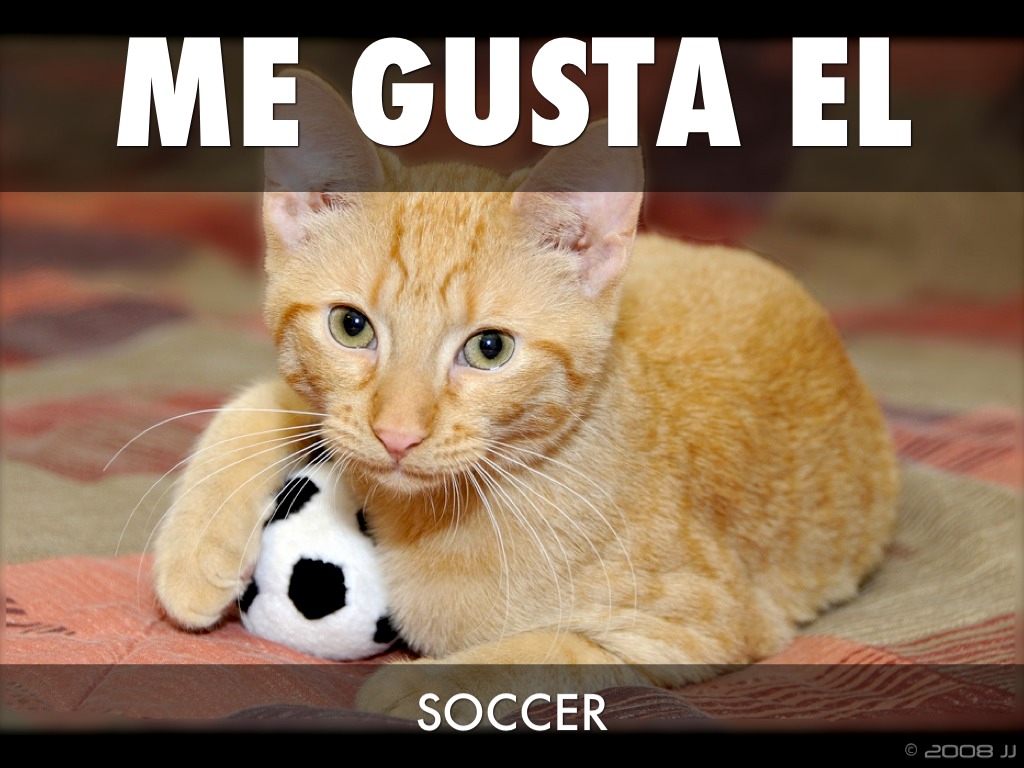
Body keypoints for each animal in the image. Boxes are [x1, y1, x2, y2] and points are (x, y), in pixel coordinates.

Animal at [151, 68, 899, 721]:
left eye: (490, 349)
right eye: (350, 326)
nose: (397, 434)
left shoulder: (700, 627)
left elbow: (553, 651)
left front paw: (421, 687)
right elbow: (264, 399)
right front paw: (194, 551)